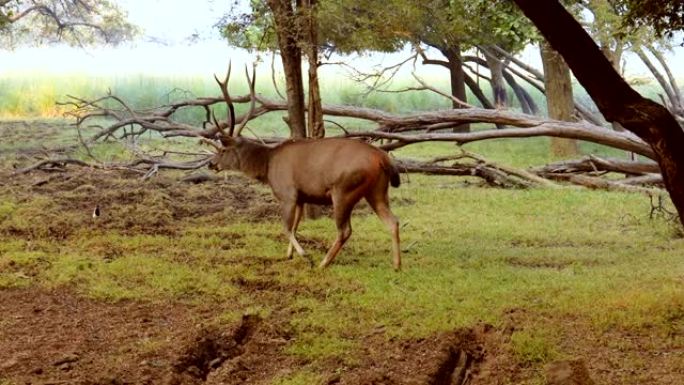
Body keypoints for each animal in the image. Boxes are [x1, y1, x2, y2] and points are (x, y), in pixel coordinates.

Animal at [203, 63, 404, 270]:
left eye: (222, 150)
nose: (211, 164)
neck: (267, 166)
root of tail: (382, 158)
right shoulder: (301, 198)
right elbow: (295, 226)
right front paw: (289, 255)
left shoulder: (288, 193)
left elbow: (286, 227)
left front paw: (305, 255)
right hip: (377, 190)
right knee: (393, 221)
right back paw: (397, 265)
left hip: (344, 190)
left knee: (345, 230)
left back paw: (324, 262)